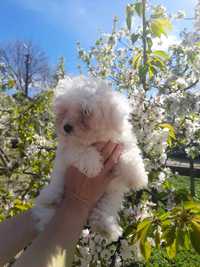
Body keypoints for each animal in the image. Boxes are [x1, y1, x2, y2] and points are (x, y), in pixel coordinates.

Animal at [32, 75, 148, 241]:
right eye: (64, 110)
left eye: (85, 111)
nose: (66, 127)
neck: (96, 140)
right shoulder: (68, 151)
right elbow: (82, 151)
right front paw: (93, 167)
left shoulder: (123, 143)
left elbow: (129, 156)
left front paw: (138, 177)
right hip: (53, 193)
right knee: (46, 209)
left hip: (111, 195)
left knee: (104, 210)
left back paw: (106, 228)